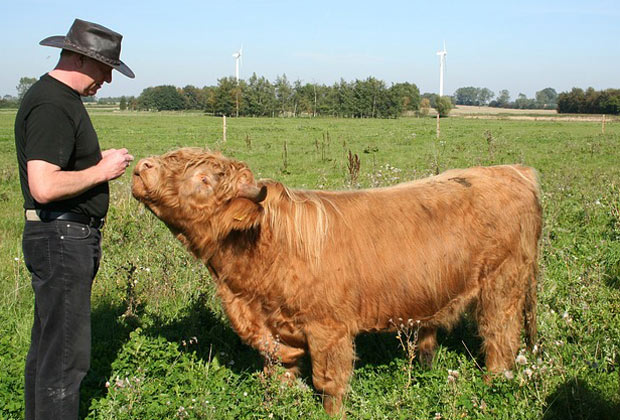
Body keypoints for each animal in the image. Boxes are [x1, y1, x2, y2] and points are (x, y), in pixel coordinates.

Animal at [131, 147, 541, 416]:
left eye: (203, 179)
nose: (141, 166)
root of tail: (513, 170)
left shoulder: (329, 330)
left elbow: (329, 384)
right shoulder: (276, 332)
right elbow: (279, 374)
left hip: (502, 287)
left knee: (499, 339)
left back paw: (490, 387)